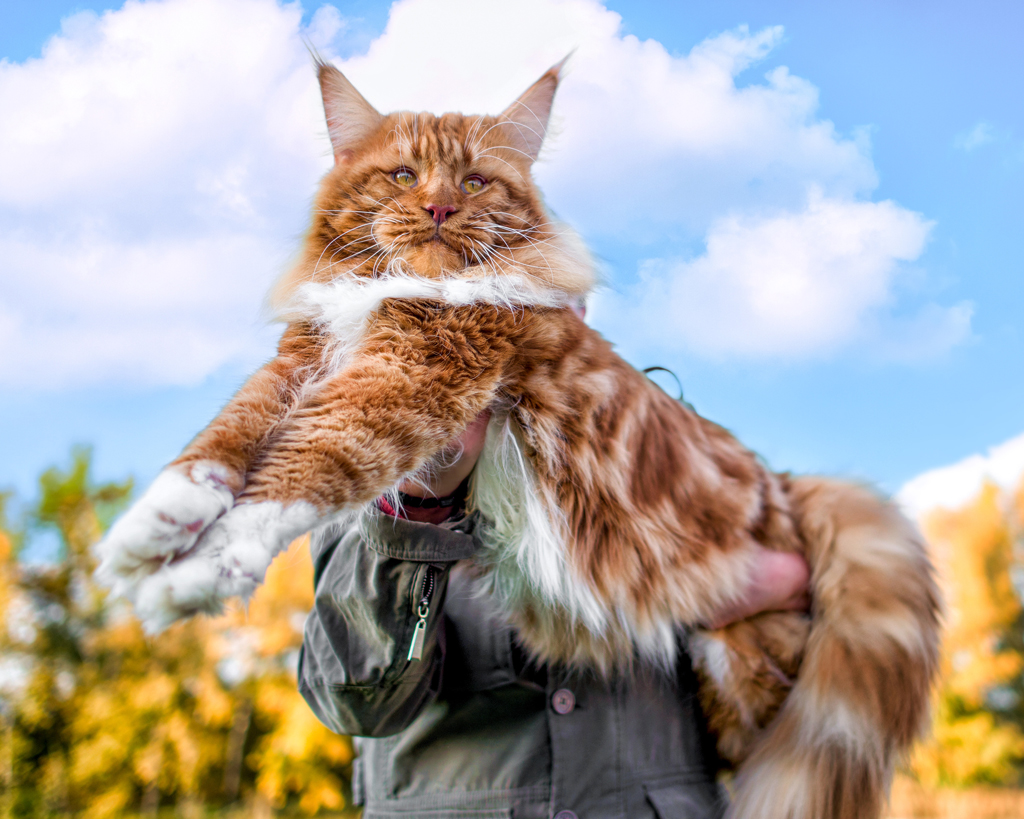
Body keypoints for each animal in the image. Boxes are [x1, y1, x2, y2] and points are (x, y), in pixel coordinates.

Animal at [94, 59, 937, 818]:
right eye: (403, 175)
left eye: (472, 184)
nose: (437, 208)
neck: (396, 293)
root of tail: (787, 482)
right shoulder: (305, 356)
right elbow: (228, 433)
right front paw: (156, 524)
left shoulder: (411, 373)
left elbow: (303, 464)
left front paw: (199, 569)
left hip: (740, 665)